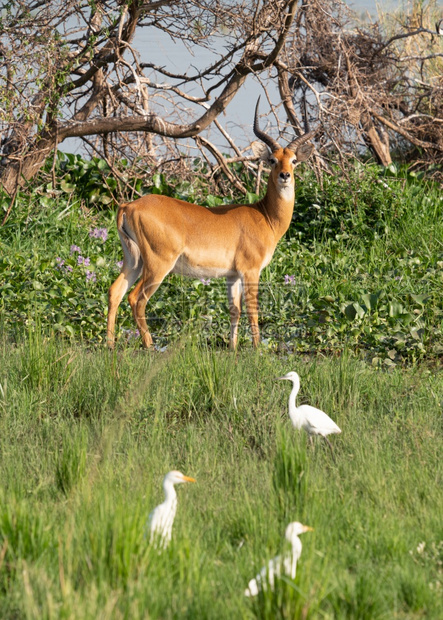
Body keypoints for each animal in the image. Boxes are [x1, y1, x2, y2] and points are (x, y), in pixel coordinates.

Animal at [107, 98, 316, 346]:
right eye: (273, 160)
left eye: (293, 160)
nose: (285, 175)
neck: (265, 216)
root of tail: (128, 206)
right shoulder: (251, 271)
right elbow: (252, 309)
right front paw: (257, 349)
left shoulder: (232, 276)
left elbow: (234, 310)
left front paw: (233, 348)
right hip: (157, 265)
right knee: (136, 299)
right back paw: (149, 346)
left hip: (134, 260)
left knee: (115, 291)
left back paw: (109, 344)